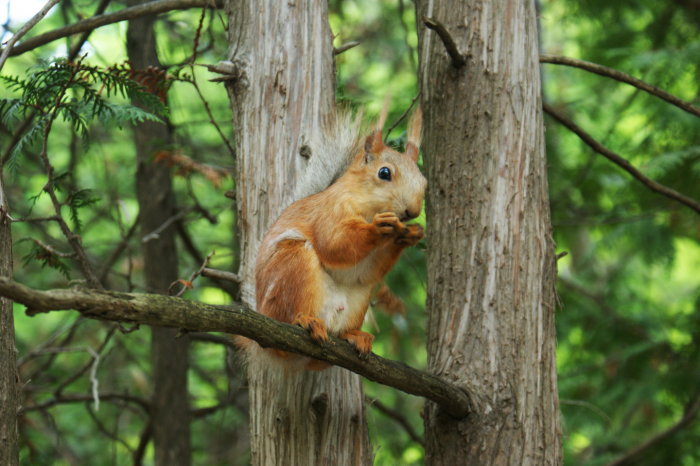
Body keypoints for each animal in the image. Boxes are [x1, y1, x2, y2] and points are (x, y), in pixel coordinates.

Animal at [241, 102, 426, 372]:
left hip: (358, 299)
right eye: (384, 173)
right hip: (292, 265)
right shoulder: (329, 213)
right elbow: (334, 244)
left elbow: (366, 270)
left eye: (424, 182)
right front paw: (378, 227)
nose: (412, 212)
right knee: (287, 324)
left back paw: (354, 336)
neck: (364, 204)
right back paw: (304, 321)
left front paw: (410, 235)